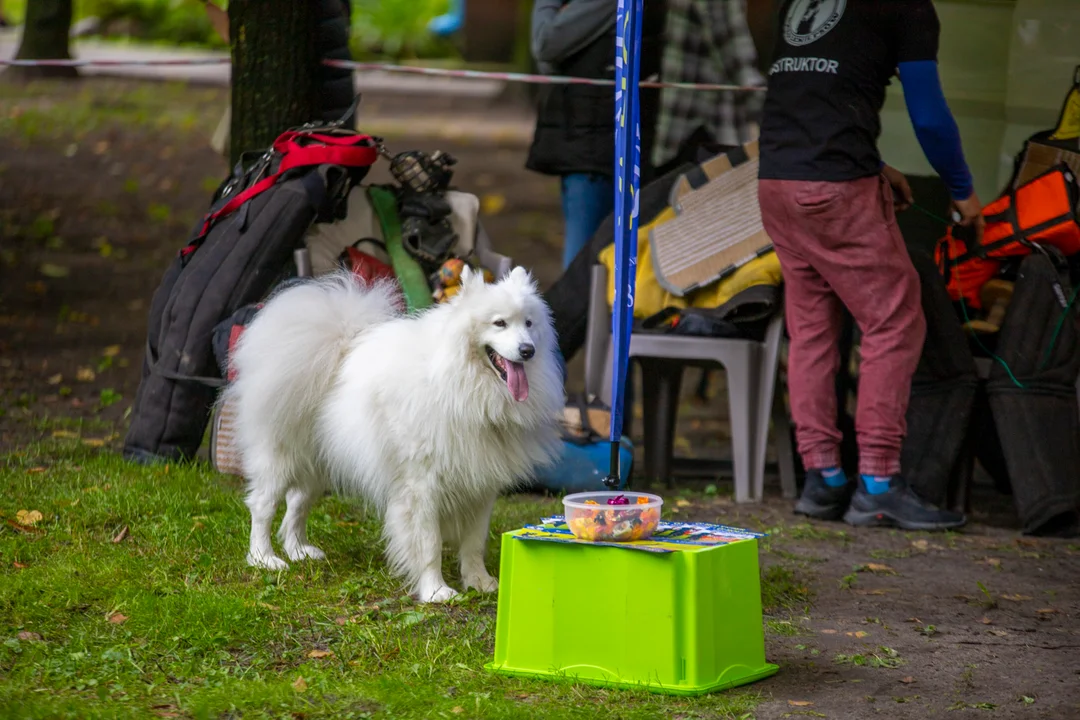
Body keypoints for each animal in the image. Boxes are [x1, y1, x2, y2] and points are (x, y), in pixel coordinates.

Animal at [227, 264, 565, 604]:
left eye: (529, 323)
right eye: (499, 323)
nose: (528, 350)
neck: (457, 384)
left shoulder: (480, 485)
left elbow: (474, 542)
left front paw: (479, 582)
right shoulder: (421, 486)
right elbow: (428, 543)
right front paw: (436, 591)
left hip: (319, 463)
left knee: (297, 504)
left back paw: (298, 550)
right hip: (280, 456)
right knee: (263, 506)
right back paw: (264, 558)